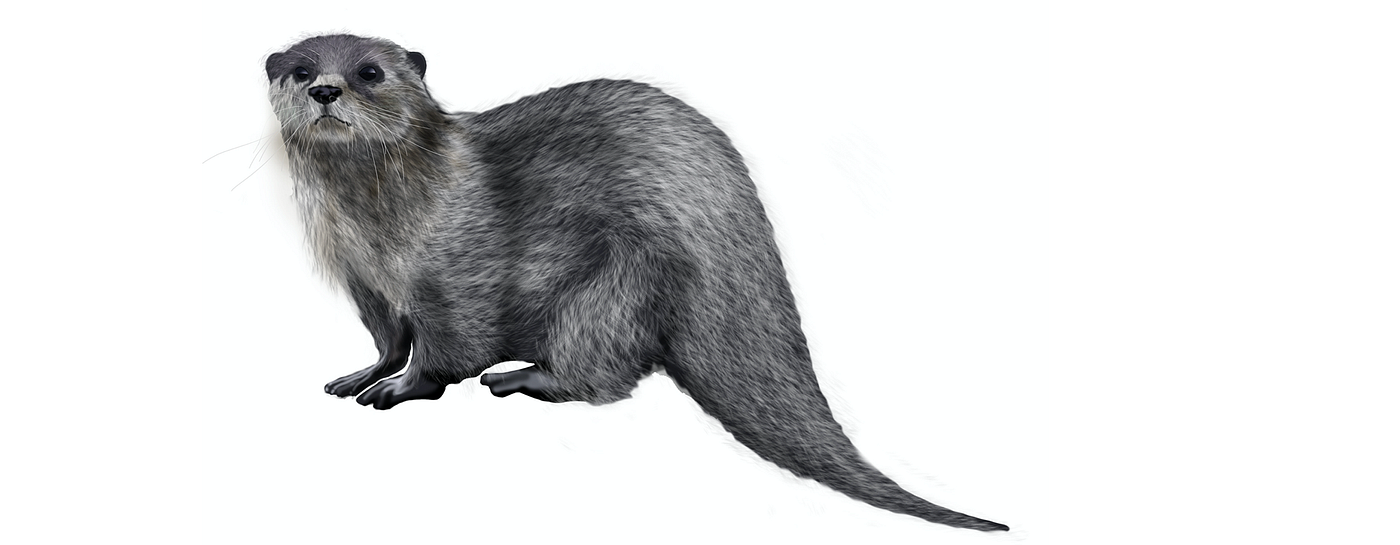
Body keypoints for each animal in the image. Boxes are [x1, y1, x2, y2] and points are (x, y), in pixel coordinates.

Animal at [264, 34, 1006, 532]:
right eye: (300, 70)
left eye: (370, 72)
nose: (324, 89)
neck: (380, 226)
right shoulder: (361, 279)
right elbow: (387, 337)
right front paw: (363, 374)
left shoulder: (453, 266)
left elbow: (447, 345)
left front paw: (401, 388)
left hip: (616, 287)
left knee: (608, 372)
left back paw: (524, 377)